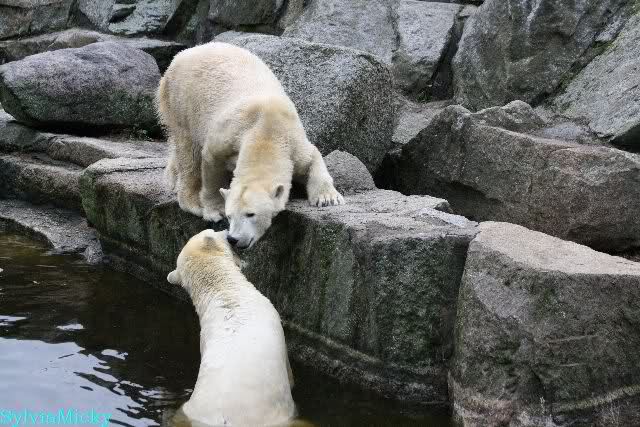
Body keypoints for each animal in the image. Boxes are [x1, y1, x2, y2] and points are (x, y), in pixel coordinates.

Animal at [157, 42, 344, 249]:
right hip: (182, 101)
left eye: (250, 214)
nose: (233, 239)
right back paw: (193, 202)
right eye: (229, 215)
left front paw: (327, 198)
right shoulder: (230, 134)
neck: (267, 132)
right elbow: (210, 161)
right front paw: (214, 210)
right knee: (188, 151)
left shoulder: (293, 144)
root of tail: (183, 54)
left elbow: (312, 156)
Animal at [167, 229, 296, 426]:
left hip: (190, 409)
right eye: (215, 231)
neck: (226, 291)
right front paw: (294, 382)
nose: (229, 234)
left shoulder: (203, 339)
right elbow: (288, 369)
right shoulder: (271, 314)